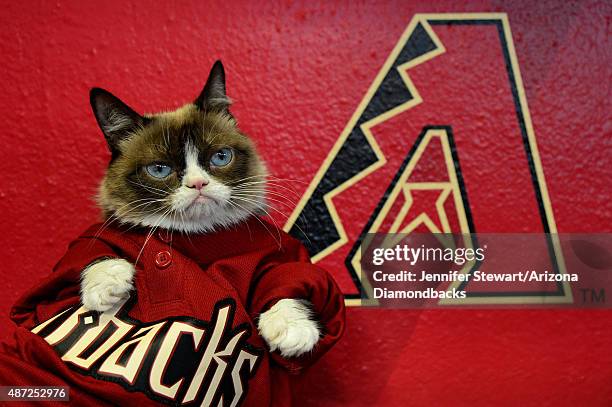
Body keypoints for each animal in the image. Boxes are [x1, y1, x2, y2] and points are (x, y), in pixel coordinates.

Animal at [82, 60, 320, 356]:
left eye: (221, 157)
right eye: (159, 169)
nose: (198, 184)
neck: (198, 235)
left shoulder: (279, 254)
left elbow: (285, 276)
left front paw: (292, 329)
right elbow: (94, 246)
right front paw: (106, 285)